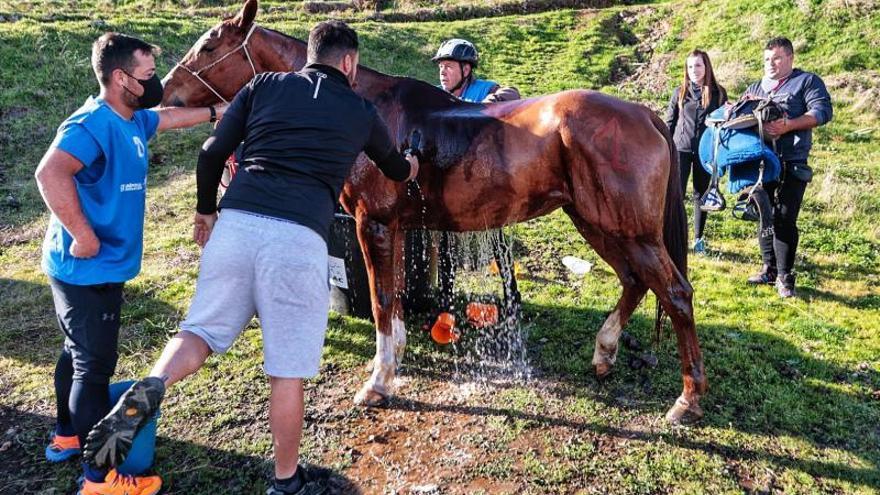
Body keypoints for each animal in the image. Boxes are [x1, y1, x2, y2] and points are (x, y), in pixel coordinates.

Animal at [161, 0, 707, 423]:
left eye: (209, 47)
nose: (163, 91)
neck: (359, 103)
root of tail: (644, 114)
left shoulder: (374, 225)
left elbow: (382, 301)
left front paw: (379, 382)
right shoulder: (398, 229)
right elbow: (397, 298)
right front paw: (391, 364)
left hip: (629, 231)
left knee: (676, 293)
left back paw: (687, 399)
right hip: (598, 223)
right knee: (635, 281)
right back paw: (605, 351)